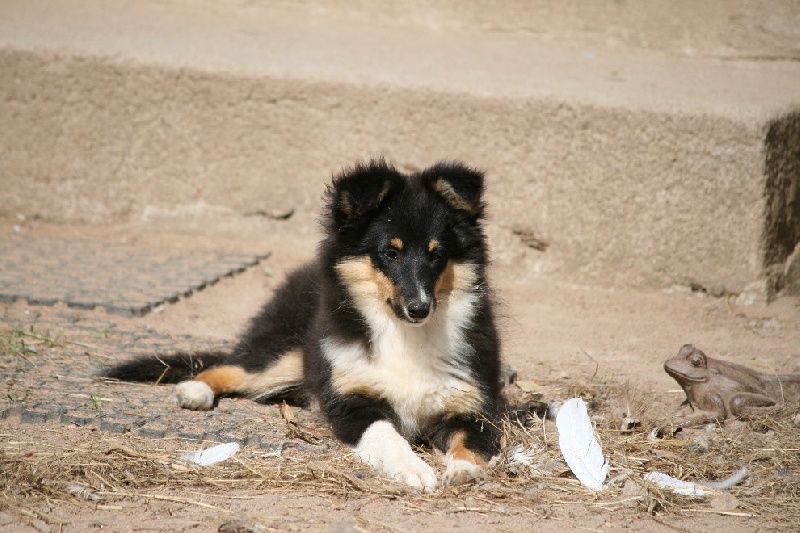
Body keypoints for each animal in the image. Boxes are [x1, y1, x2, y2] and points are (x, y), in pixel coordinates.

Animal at [104, 160, 500, 492]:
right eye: (390, 252)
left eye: (437, 254)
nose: (419, 308)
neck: (403, 333)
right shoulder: (352, 401)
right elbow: (386, 435)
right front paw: (413, 469)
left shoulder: (472, 405)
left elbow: (470, 443)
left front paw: (463, 471)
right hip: (289, 355)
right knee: (233, 367)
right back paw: (194, 390)